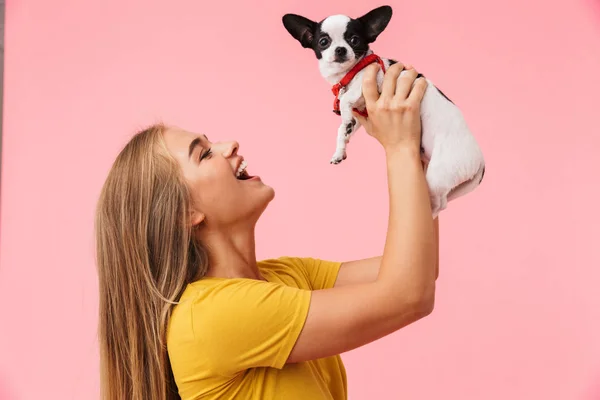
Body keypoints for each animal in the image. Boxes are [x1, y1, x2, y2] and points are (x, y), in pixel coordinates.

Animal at [284, 4, 486, 217]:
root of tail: (480, 163)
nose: (340, 49)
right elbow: (343, 129)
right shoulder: (360, 113)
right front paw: (340, 149)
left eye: (354, 40)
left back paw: (429, 212)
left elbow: (347, 99)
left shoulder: (374, 80)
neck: (349, 74)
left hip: (438, 175)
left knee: (440, 202)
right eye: (323, 42)